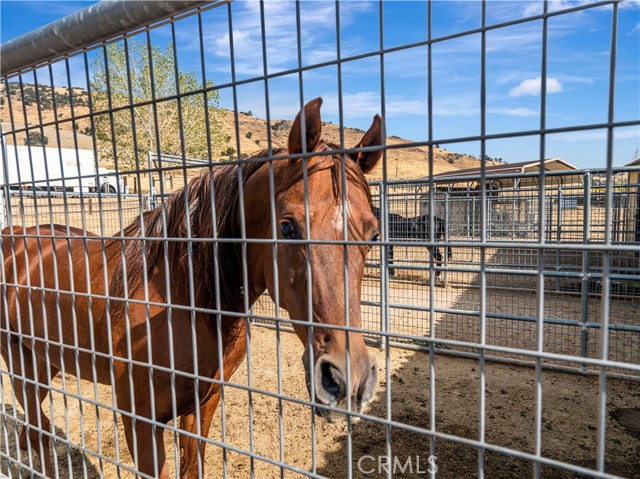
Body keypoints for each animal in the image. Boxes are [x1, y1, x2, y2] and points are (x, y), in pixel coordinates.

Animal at [1, 98, 380, 479]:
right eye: (287, 227)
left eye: (374, 234)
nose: (346, 379)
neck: (181, 301)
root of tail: (13, 235)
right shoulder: (141, 424)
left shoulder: (202, 406)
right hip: (22, 368)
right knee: (37, 428)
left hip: (44, 362)